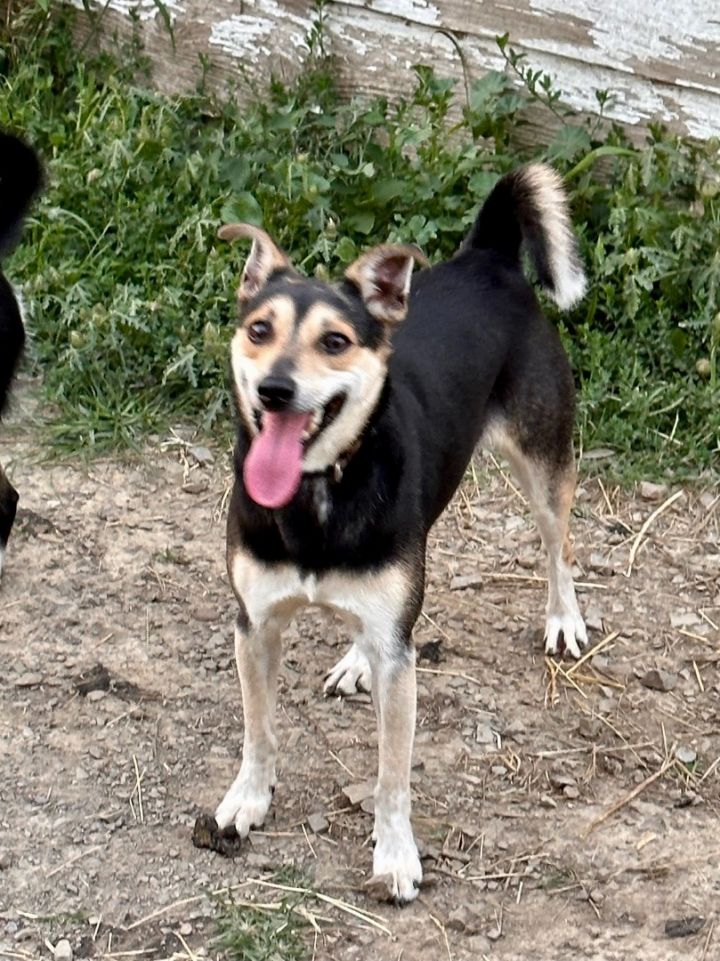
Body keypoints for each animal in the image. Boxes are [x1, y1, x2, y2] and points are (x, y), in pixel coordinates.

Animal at [214, 163, 592, 900]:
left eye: (335, 341)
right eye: (260, 329)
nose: (275, 390)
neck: (320, 487)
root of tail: (487, 257)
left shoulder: (400, 662)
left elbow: (392, 773)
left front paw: (394, 855)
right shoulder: (256, 624)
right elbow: (258, 729)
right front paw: (247, 799)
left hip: (543, 458)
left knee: (556, 543)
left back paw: (563, 618)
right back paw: (356, 658)